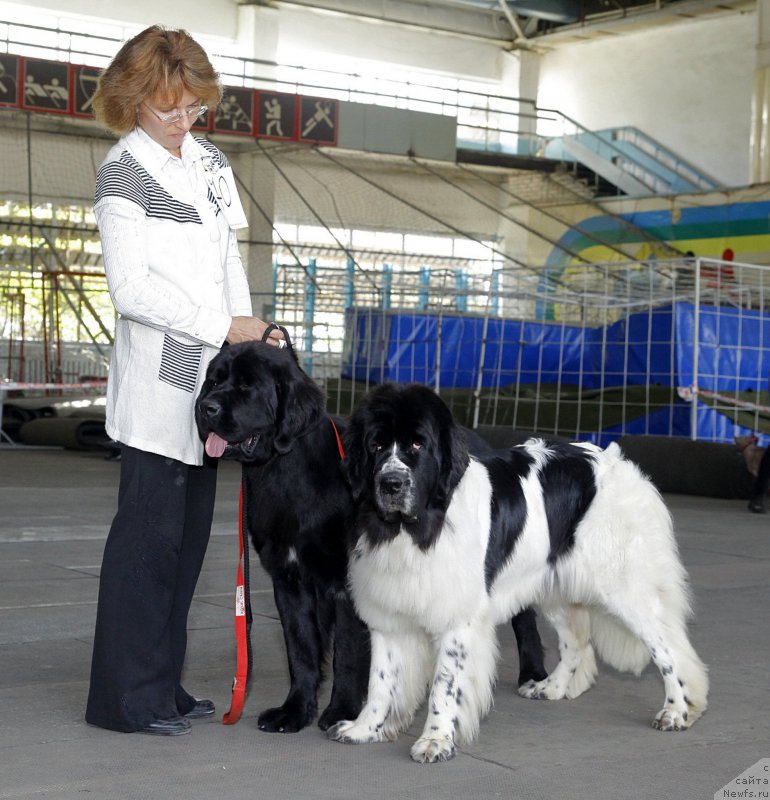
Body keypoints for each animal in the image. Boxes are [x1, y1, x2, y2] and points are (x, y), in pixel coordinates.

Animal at [195, 340, 548, 736]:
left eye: (247, 386)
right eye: (214, 380)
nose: (206, 408)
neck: (285, 472)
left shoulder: (349, 583)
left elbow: (348, 653)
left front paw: (342, 712)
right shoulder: (288, 580)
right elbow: (301, 649)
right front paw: (295, 711)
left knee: (523, 613)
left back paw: (534, 674)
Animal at [326, 384, 708, 764]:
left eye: (418, 445)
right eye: (375, 446)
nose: (391, 483)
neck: (412, 529)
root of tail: (614, 459)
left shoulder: (457, 617)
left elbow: (444, 685)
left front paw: (435, 740)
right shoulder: (387, 610)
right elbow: (381, 679)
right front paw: (365, 728)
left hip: (625, 586)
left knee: (669, 647)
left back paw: (678, 710)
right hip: (555, 585)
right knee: (577, 641)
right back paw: (552, 687)